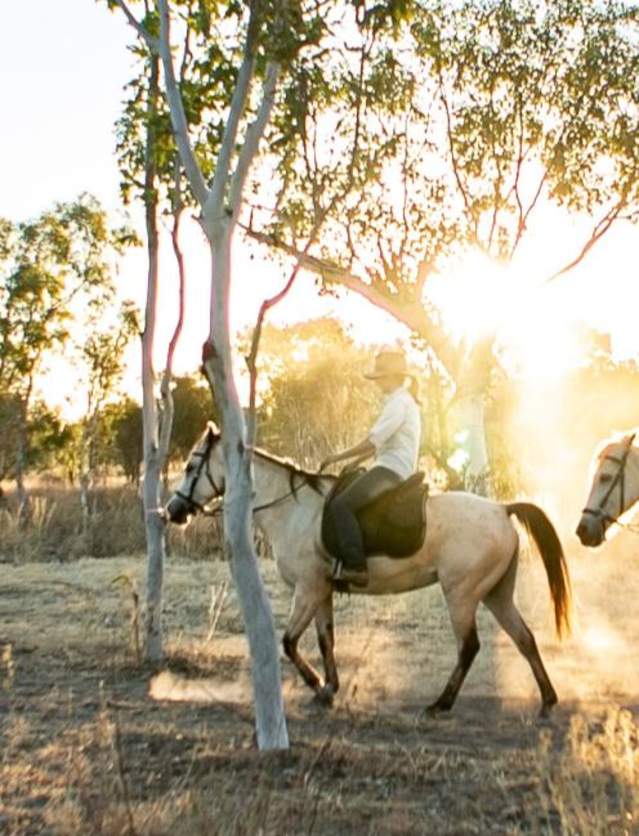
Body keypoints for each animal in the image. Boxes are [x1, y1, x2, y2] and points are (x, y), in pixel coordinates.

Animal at [168, 424, 572, 720]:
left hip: (461, 593)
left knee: (469, 646)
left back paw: (440, 704)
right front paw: (328, 690)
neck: (293, 509)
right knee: (524, 638)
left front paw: (316, 684)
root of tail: (502, 510)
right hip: (495, 593)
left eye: (190, 467)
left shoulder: (307, 588)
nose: (174, 510)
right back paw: (548, 700)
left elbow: (289, 642)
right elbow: (325, 641)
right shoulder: (321, 590)